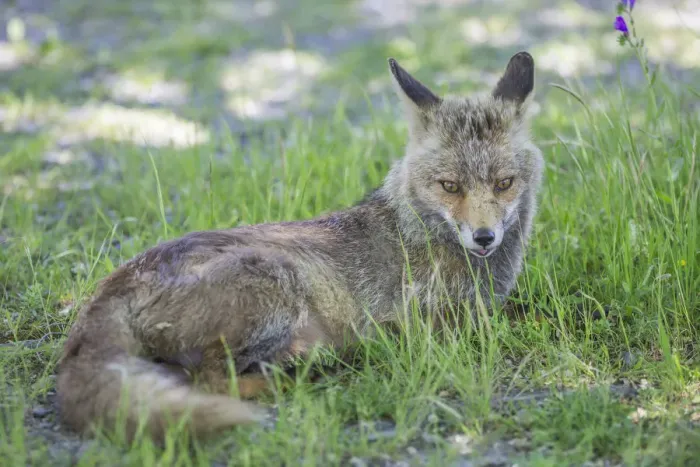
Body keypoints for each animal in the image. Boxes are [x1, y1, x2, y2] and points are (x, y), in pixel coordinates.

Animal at [56, 51, 544, 441]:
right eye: (450, 186)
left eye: (503, 183)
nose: (484, 237)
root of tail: (114, 281)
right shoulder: (429, 324)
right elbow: (518, 321)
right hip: (275, 283)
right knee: (210, 380)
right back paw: (304, 374)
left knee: (180, 376)